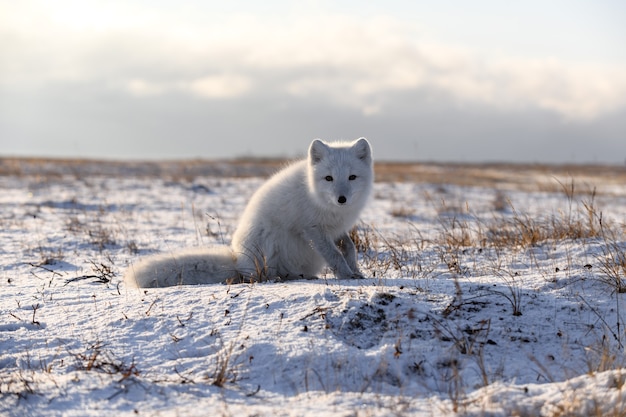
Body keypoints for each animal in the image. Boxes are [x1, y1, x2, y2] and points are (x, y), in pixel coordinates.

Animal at [124, 136, 372, 286]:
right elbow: (334, 255)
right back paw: (288, 276)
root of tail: (237, 259)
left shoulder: (336, 229)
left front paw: (356, 270)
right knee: (267, 273)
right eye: (328, 178)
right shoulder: (312, 229)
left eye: (352, 177)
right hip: (271, 243)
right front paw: (347, 275)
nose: (342, 199)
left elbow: (349, 248)